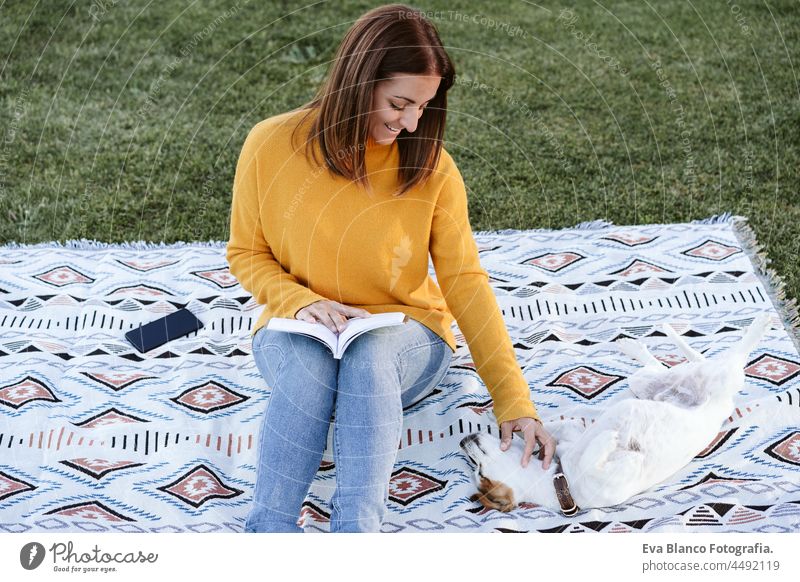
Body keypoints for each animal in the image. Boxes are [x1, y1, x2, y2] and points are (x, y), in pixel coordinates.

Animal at [460, 314, 772, 516]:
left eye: (479, 470)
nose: (463, 440)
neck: (561, 478)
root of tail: (721, 403)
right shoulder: (619, 472)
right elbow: (598, 457)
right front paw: (610, 440)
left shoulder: (570, 435)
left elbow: (556, 428)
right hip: (673, 380)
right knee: (696, 361)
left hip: (691, 378)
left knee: (719, 355)